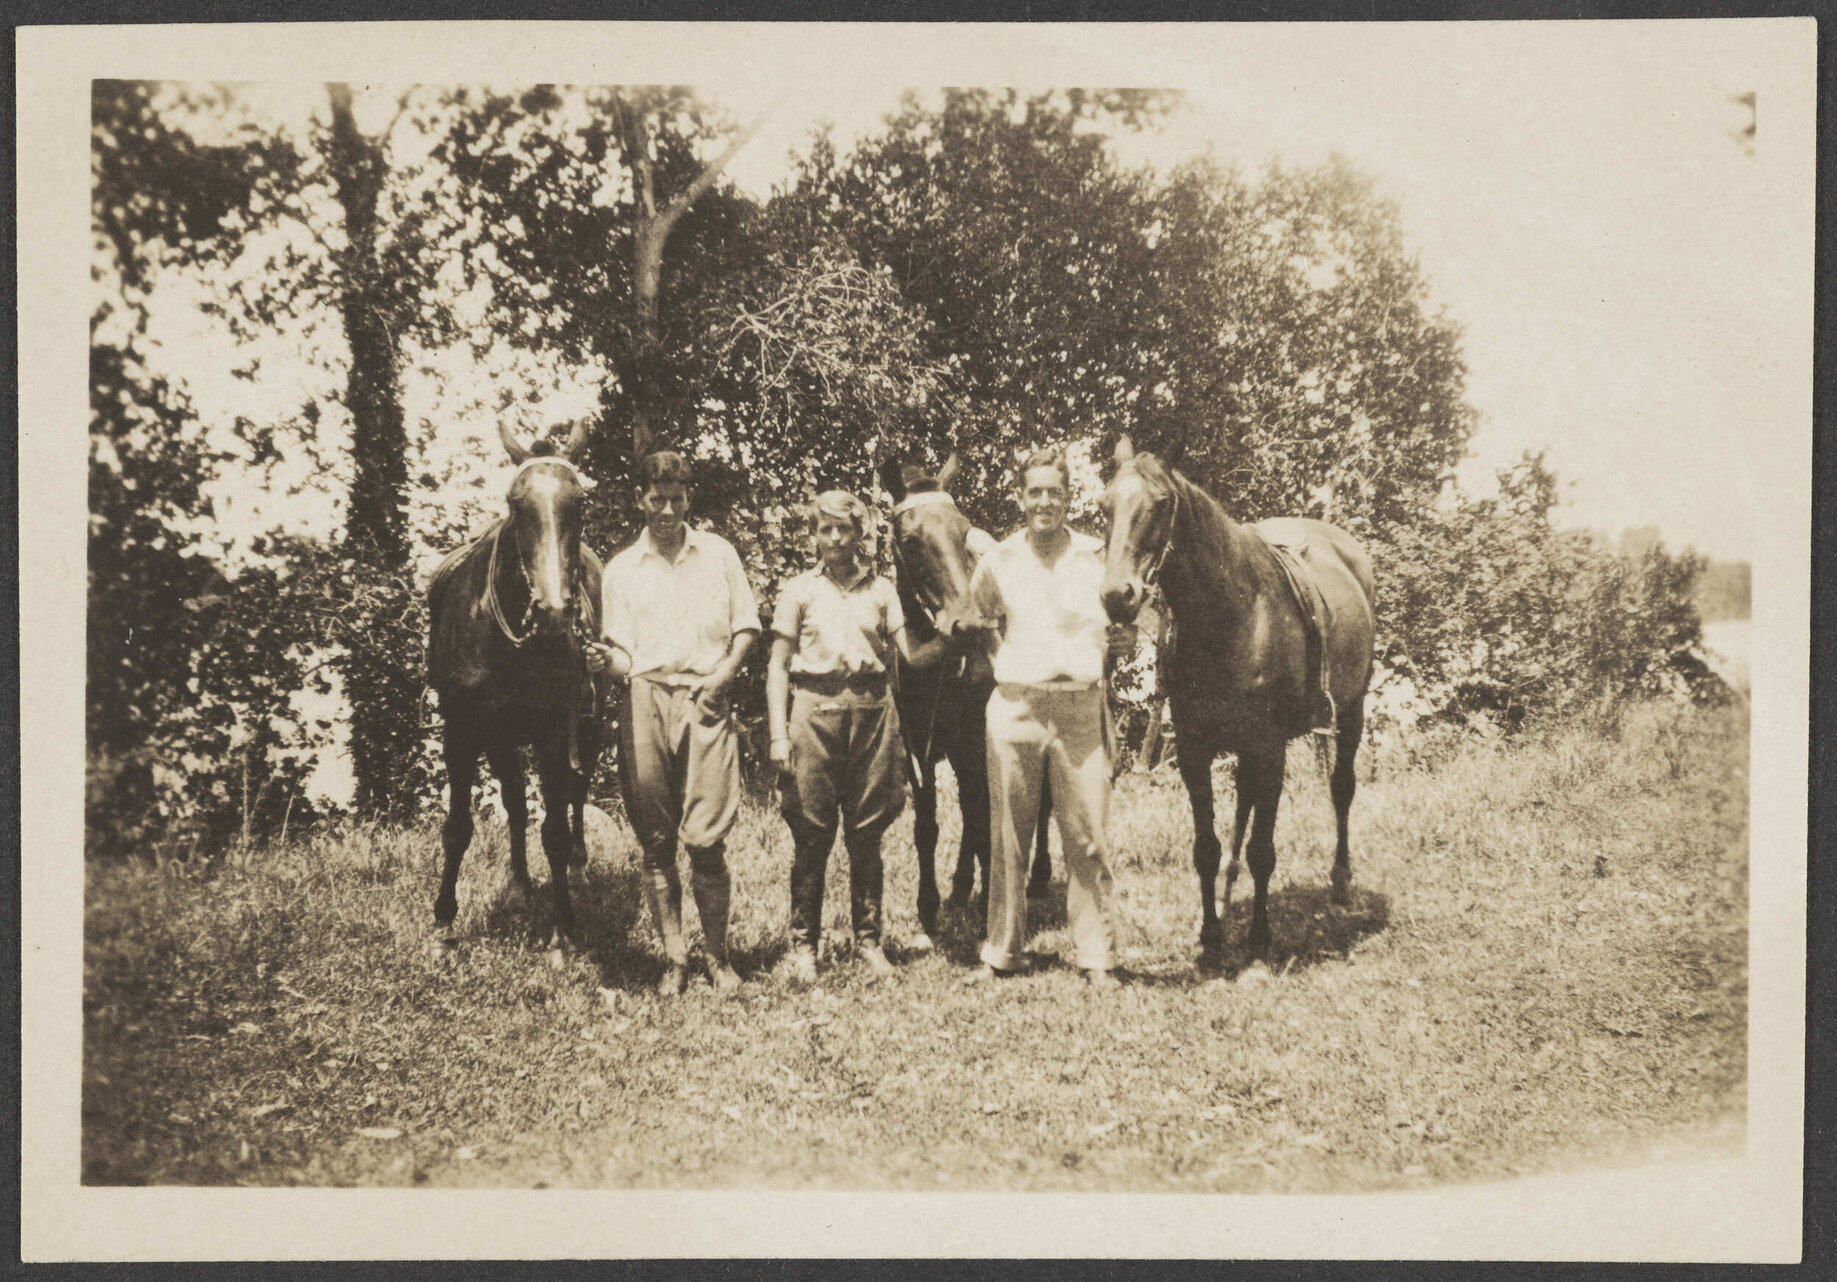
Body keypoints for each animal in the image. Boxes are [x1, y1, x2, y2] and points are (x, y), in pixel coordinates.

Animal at [426, 419, 609, 949]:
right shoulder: (463, 733)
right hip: (501, 740)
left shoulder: (555, 732)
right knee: (513, 801)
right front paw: (444, 920)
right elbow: (459, 826)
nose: (553, 613)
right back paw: (520, 882)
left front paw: (563, 927)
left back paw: (578, 868)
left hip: (589, 728)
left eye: (580, 502)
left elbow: (556, 829)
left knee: (576, 794)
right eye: (514, 502)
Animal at [878, 453, 1051, 947]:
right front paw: (930, 907)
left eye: (963, 530)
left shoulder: (978, 739)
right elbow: (930, 825)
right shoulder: (920, 748)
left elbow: (989, 815)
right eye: (911, 540)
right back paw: (961, 889)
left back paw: (1036, 878)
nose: (968, 623)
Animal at [1098, 436, 1375, 966]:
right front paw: (1210, 937)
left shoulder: (1270, 747)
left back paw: (1340, 882)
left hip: (1352, 710)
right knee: (1244, 805)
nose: (1117, 595)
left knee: (1342, 788)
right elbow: (1205, 847)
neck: (1234, 614)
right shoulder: (1195, 749)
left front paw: (1260, 938)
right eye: (1105, 505)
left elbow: (1263, 850)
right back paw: (1227, 897)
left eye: (1160, 503)